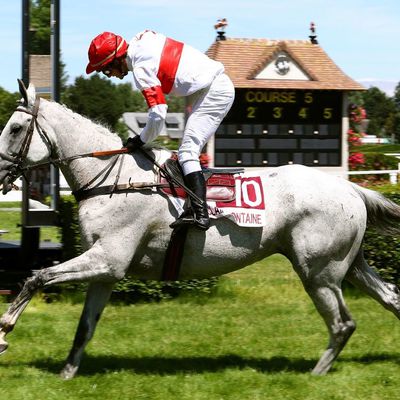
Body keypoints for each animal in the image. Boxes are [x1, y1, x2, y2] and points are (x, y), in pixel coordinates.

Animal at [0, 81, 400, 378]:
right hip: (349, 265)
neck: (112, 177)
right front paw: (67, 372)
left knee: (343, 323)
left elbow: (36, 277)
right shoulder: (106, 270)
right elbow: (85, 325)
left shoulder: (108, 258)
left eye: (15, 128)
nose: (0, 173)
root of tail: (352, 189)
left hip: (319, 272)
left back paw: (316, 374)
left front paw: (4, 332)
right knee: (390, 298)